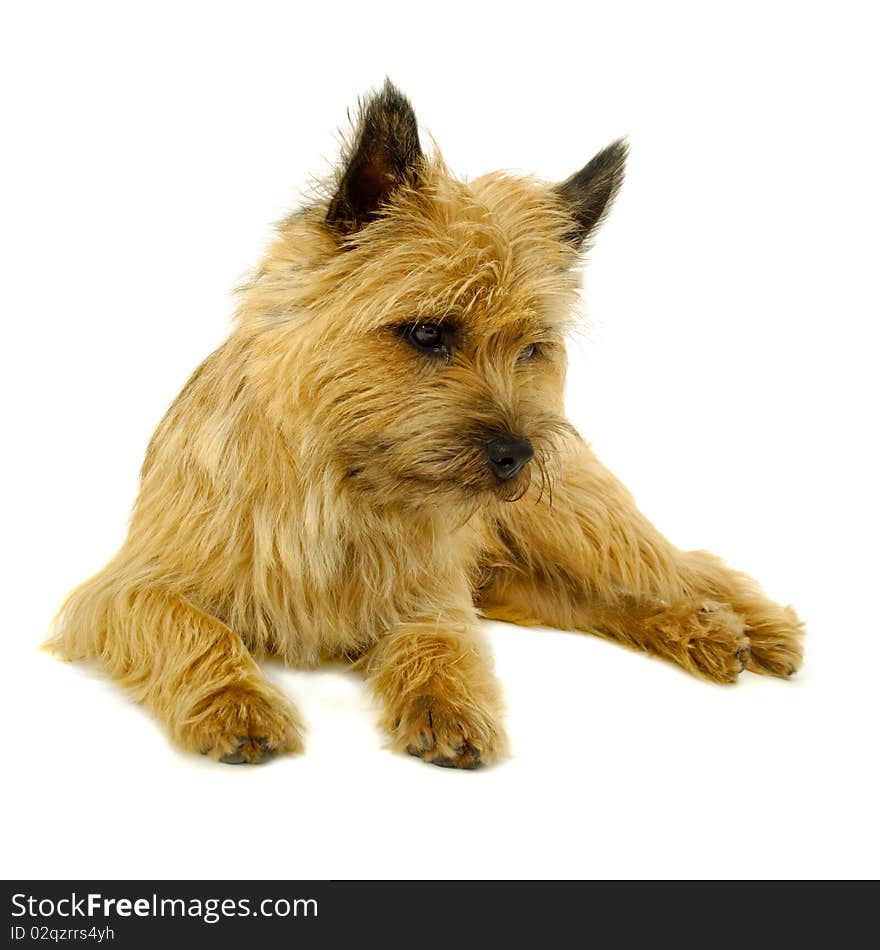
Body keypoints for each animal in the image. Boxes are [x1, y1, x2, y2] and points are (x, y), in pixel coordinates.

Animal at [49, 80, 804, 768]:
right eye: (427, 333)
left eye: (532, 348)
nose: (518, 455)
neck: (339, 492)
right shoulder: (125, 589)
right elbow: (188, 626)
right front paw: (237, 702)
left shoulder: (431, 596)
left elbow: (437, 644)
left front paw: (448, 707)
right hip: (520, 581)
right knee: (608, 601)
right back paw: (704, 633)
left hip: (577, 524)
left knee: (686, 565)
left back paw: (756, 628)